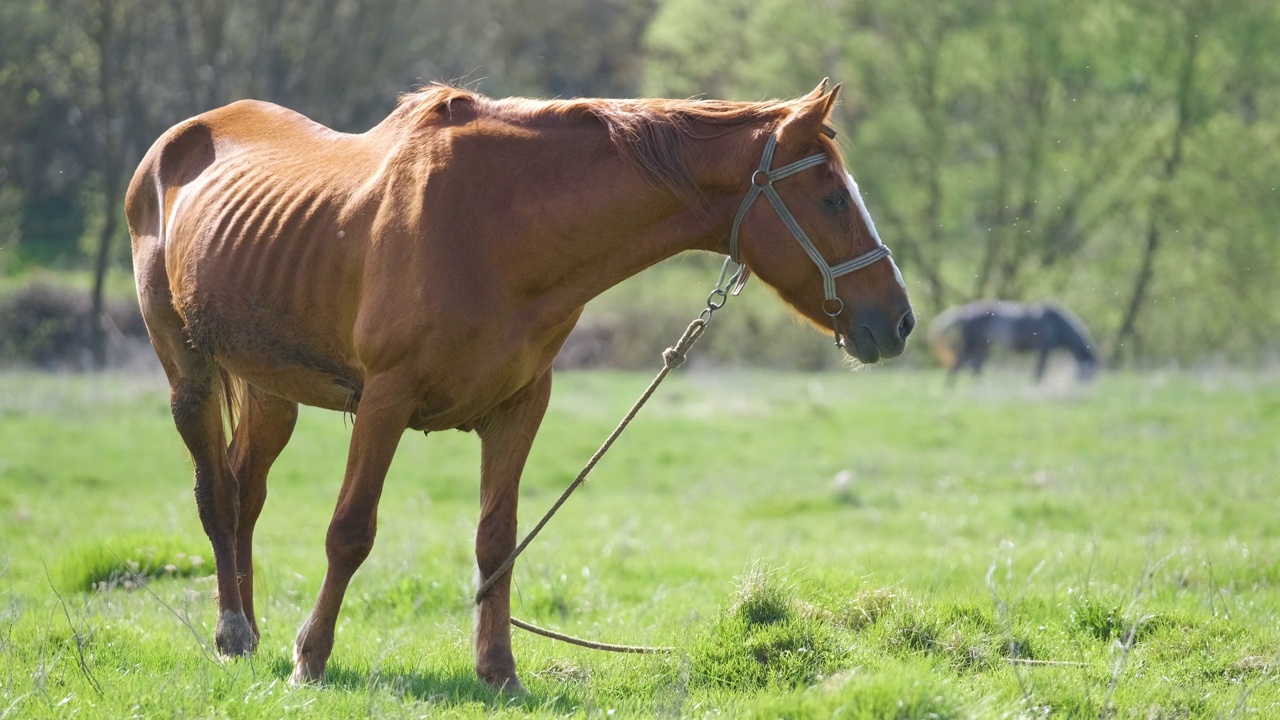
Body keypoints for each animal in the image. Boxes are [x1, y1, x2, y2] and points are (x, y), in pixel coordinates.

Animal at [124, 78, 916, 691]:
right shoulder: (384, 400)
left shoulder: (519, 406)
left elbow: (496, 542)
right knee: (214, 493)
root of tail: (173, 144)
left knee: (245, 495)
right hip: (189, 372)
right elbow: (348, 533)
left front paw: (499, 670)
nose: (900, 320)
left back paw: (247, 627)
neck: (493, 226)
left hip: (270, 389)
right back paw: (234, 631)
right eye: (833, 198)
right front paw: (310, 659)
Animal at [926, 297, 1095, 384]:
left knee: (975, 367)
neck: (1056, 323)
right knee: (959, 364)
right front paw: (1035, 386)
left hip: (981, 346)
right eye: (1092, 372)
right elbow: (1040, 371)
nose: (1087, 388)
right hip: (971, 344)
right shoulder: (1044, 350)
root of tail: (964, 312)